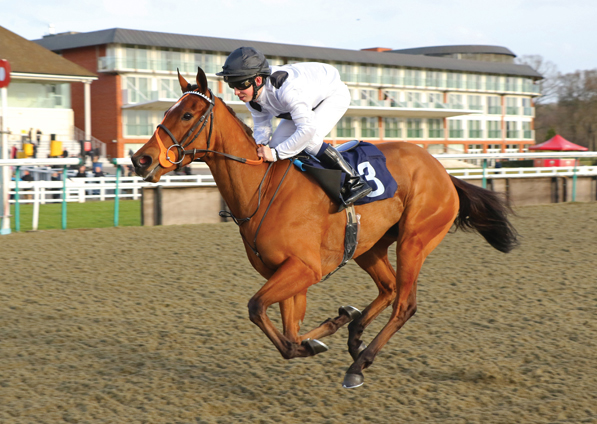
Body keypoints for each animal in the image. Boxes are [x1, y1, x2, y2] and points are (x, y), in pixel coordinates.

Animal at [132, 67, 516, 388]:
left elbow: (259, 311)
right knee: (389, 288)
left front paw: (313, 342)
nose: (141, 159)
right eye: (165, 113)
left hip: (414, 241)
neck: (262, 190)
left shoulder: (304, 268)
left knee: (404, 304)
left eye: (186, 114)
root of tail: (444, 173)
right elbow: (290, 330)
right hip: (369, 247)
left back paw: (358, 365)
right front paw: (332, 326)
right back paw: (356, 334)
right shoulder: (286, 273)